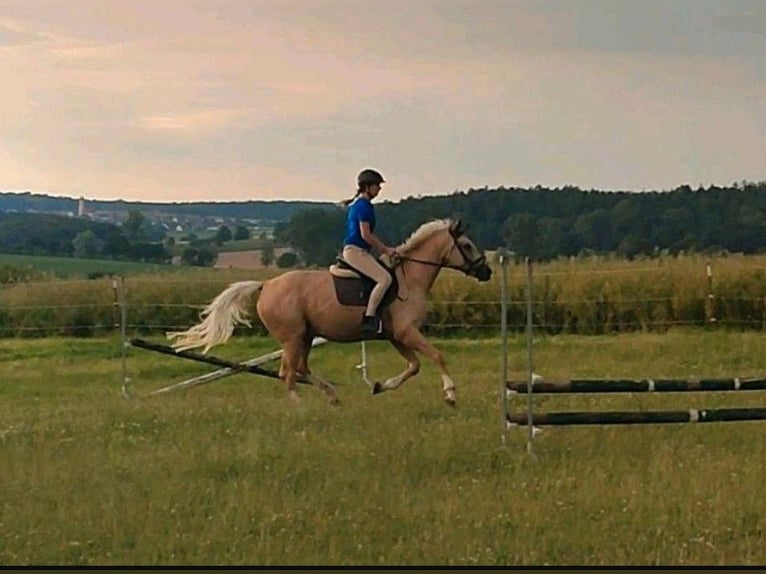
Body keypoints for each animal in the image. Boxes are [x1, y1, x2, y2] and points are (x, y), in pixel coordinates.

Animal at [166, 218, 492, 408]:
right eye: (466, 245)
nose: (486, 272)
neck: (410, 278)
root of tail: (266, 284)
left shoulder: (396, 336)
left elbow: (414, 367)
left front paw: (379, 386)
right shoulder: (406, 332)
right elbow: (436, 356)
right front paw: (450, 393)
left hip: (307, 336)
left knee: (301, 369)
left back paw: (332, 397)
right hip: (293, 337)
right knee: (289, 373)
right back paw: (300, 408)